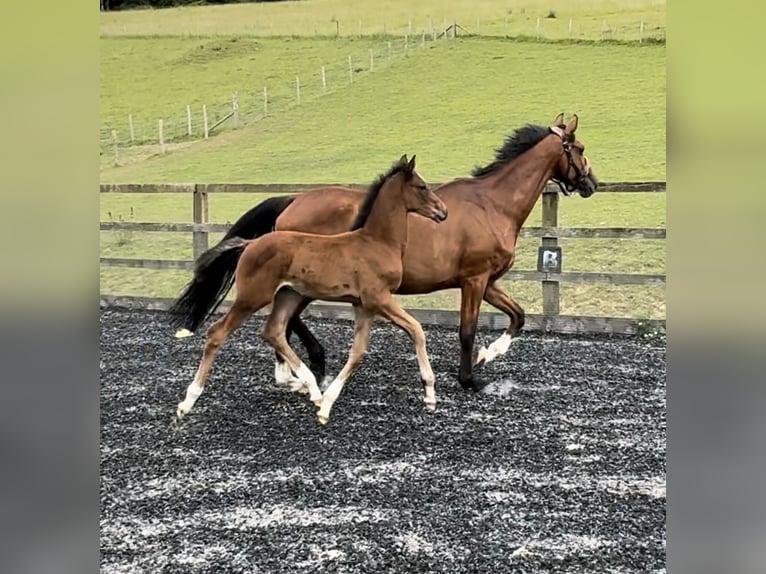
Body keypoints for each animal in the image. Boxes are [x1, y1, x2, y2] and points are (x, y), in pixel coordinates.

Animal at [170, 113, 600, 392]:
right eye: (579, 146)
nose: (592, 183)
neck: (492, 204)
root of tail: (292, 201)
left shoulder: (487, 281)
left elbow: (518, 317)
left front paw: (487, 356)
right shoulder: (474, 280)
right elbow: (467, 330)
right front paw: (470, 378)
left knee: (284, 321)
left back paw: (298, 371)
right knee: (287, 320)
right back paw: (309, 367)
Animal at [176, 155, 450, 426]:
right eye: (422, 186)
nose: (443, 212)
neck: (377, 242)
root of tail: (250, 243)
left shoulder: (363, 305)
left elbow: (358, 352)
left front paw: (326, 405)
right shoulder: (379, 298)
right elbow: (416, 330)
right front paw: (429, 393)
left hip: (288, 295)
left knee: (273, 331)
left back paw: (311, 388)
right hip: (252, 297)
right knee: (217, 333)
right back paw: (188, 401)